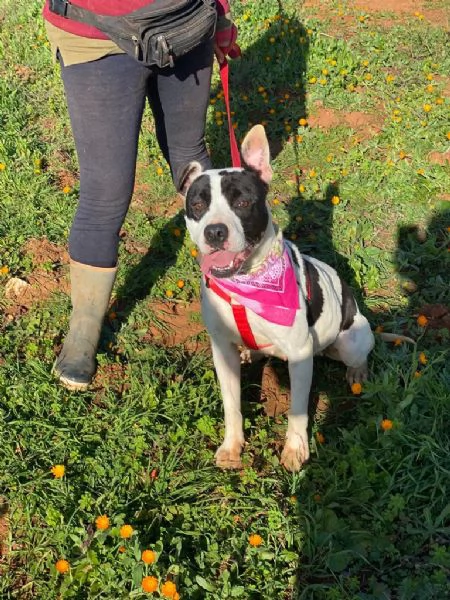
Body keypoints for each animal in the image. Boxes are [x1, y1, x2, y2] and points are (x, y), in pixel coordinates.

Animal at [181, 125, 374, 474]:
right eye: (198, 206)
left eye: (243, 202)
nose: (215, 232)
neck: (245, 284)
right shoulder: (222, 351)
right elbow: (231, 404)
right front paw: (232, 446)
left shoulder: (299, 355)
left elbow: (297, 411)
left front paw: (295, 450)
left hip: (352, 340)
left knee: (357, 355)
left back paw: (357, 372)